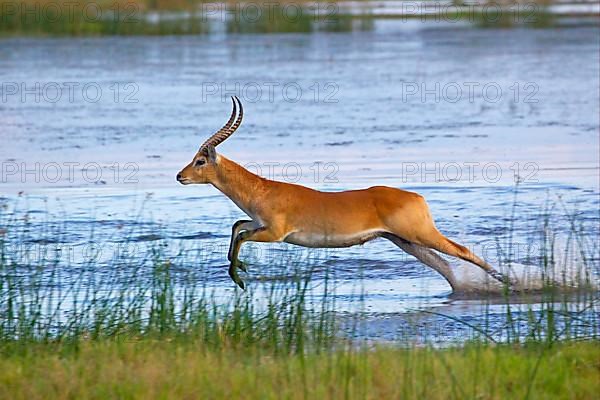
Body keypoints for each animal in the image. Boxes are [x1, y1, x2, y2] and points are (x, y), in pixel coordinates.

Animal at [175, 97, 510, 290]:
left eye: (200, 160)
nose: (180, 176)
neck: (263, 190)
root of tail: (417, 198)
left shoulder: (276, 234)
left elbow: (243, 235)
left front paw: (239, 276)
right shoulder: (259, 224)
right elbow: (237, 227)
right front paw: (239, 268)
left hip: (420, 235)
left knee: (463, 252)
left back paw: (508, 282)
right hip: (404, 241)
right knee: (443, 266)